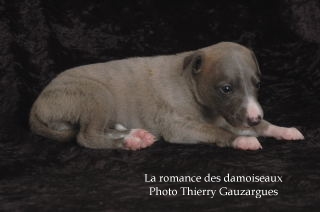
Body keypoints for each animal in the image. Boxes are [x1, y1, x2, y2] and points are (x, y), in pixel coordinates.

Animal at [28, 41, 304, 151]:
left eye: (258, 84)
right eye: (226, 89)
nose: (254, 118)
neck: (190, 83)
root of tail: (37, 105)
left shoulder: (230, 115)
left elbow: (260, 125)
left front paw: (283, 129)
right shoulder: (178, 126)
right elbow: (218, 131)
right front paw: (243, 140)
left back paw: (135, 135)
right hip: (96, 95)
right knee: (87, 137)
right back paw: (128, 142)